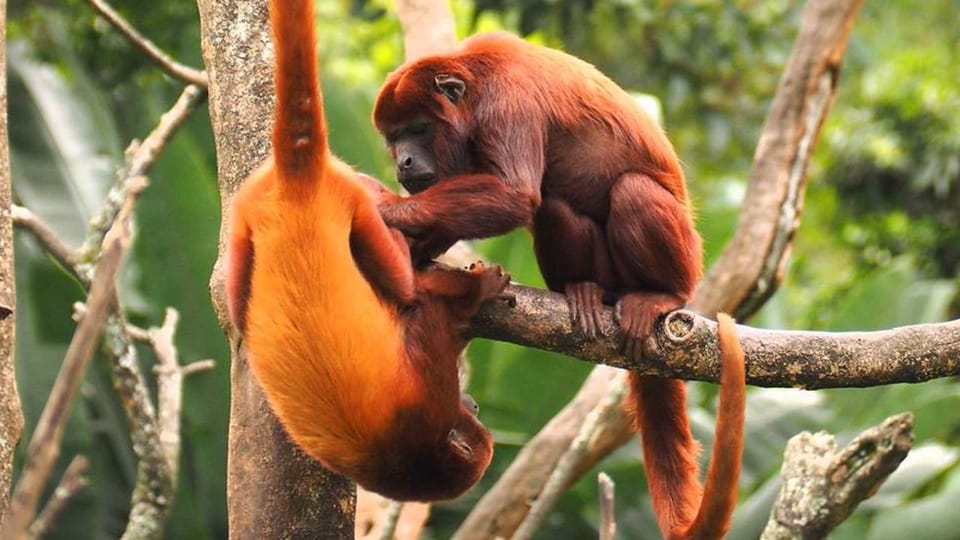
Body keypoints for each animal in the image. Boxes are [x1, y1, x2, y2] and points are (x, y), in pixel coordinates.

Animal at [224, 0, 511, 502]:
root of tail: (300, 185)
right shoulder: (429, 394)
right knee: (402, 281)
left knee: (235, 298)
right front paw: (477, 289)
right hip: (350, 201)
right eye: (474, 424)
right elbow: (431, 313)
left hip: (248, 209)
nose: (474, 404)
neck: (409, 459)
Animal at [371, 32, 746, 538]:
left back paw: (660, 295)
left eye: (418, 129)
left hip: (688, 258)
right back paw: (584, 290)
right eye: (395, 138)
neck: (472, 87)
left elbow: (514, 194)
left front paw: (384, 207)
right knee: (554, 204)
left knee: (630, 190)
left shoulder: (509, 103)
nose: (404, 162)